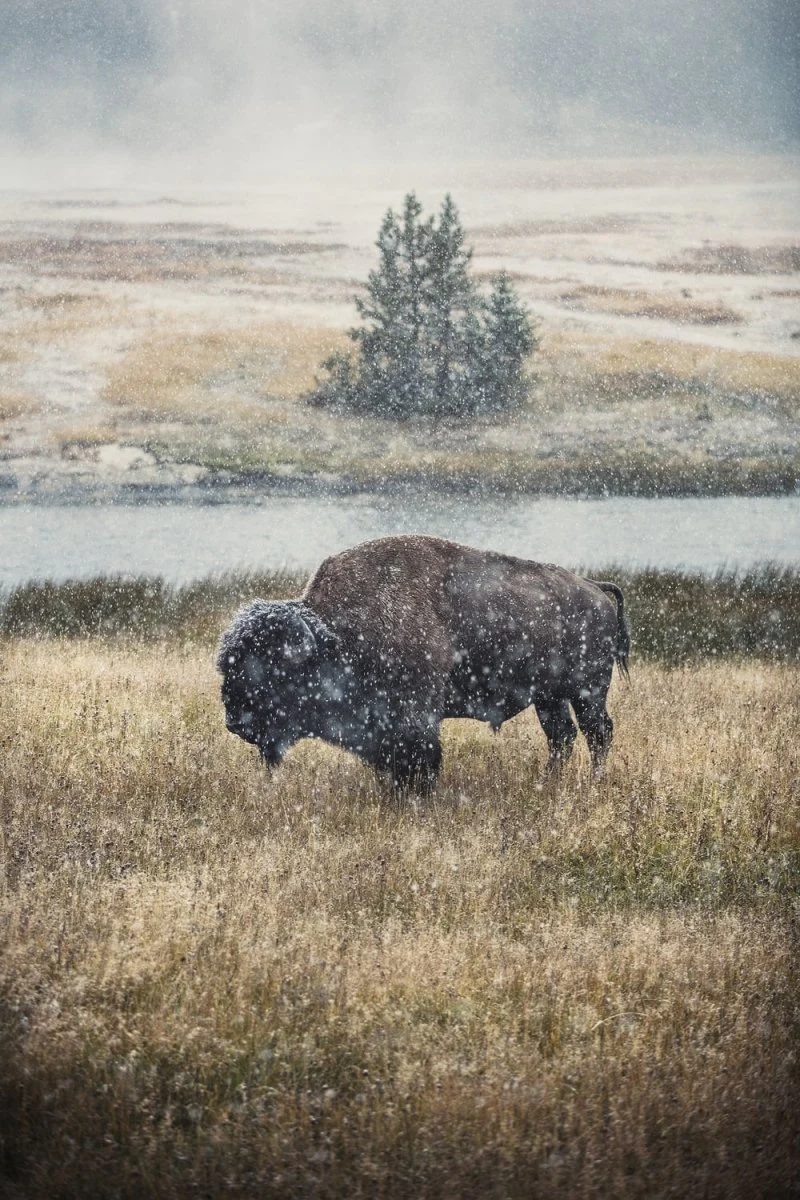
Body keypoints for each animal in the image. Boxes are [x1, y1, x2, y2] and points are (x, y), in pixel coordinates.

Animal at [217, 535, 629, 791]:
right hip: (549, 697)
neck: (334, 634)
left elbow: (421, 759)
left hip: (588, 692)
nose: (234, 722)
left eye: (269, 668)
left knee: (598, 733)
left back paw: (593, 781)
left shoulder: (415, 714)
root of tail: (595, 588)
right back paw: (548, 782)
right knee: (563, 737)